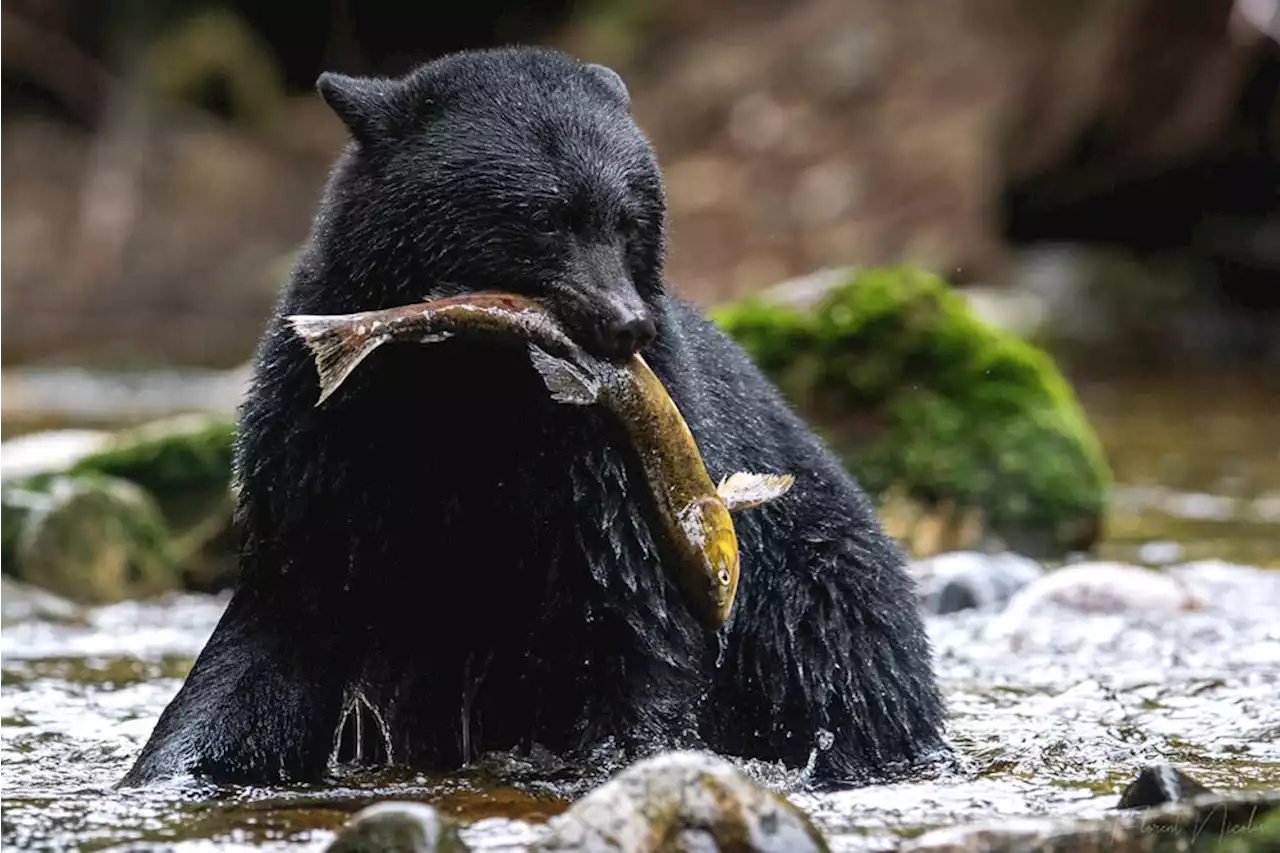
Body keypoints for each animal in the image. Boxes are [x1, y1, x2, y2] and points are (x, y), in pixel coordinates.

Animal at [120, 44, 947, 783]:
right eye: (543, 217)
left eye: (628, 220)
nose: (624, 325)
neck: (474, 384)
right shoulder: (325, 448)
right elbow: (277, 636)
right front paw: (174, 767)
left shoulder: (610, 469)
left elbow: (633, 625)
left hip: (821, 618)